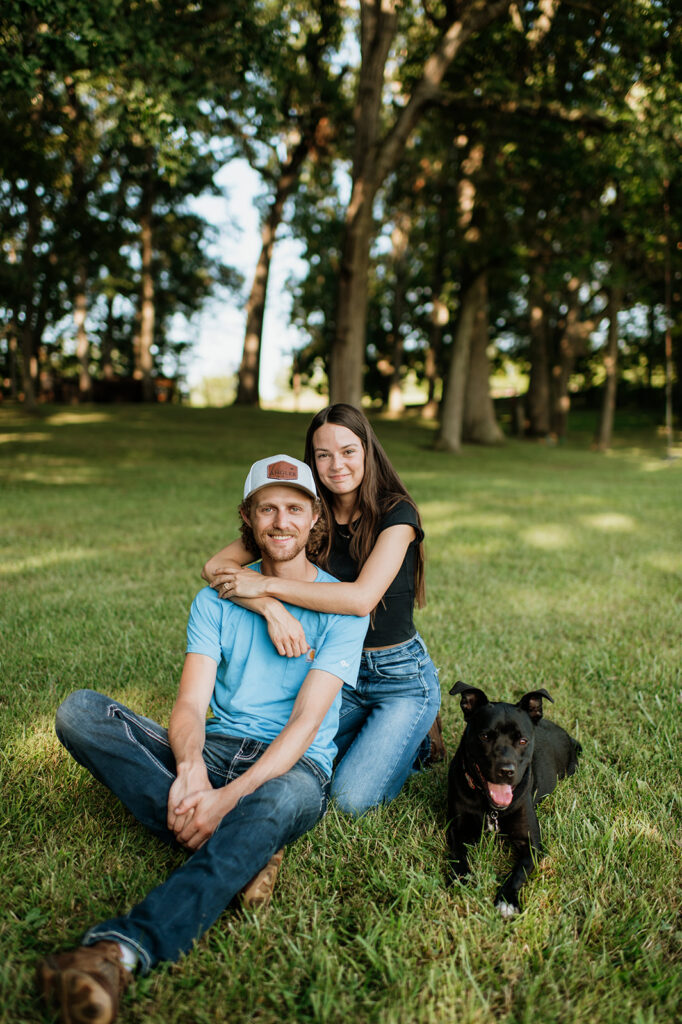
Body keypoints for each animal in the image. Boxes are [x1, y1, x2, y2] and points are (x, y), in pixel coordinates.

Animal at [446, 684, 577, 917]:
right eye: (485, 736)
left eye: (523, 741)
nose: (506, 771)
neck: (492, 808)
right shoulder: (457, 830)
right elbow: (458, 855)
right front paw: (461, 878)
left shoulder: (531, 844)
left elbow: (518, 872)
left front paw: (507, 899)